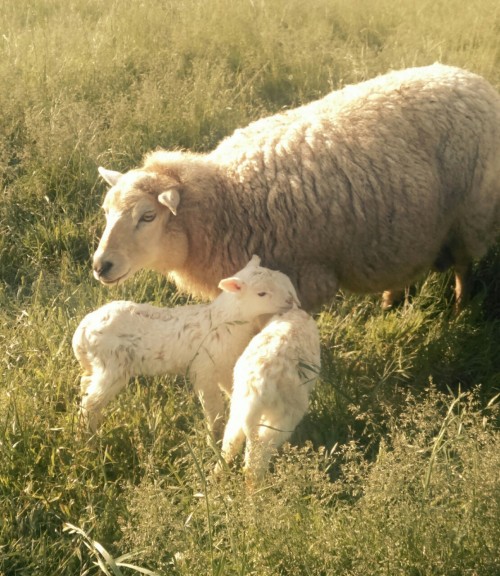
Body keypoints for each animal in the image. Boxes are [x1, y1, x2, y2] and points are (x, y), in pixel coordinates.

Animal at [72, 254, 298, 434]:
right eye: (261, 293)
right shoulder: (204, 369)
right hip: (113, 364)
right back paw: (90, 437)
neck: (225, 320)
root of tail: (81, 333)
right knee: (90, 403)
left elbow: (231, 391)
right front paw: (214, 435)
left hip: (98, 364)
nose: (290, 302)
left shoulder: (224, 366)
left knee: (86, 384)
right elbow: (213, 408)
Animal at [92, 64, 500, 310]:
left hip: (471, 216)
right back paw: (389, 302)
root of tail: (466, 76)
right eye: (107, 213)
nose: (100, 266)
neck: (228, 198)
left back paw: (461, 308)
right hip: (411, 230)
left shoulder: (302, 281)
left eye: (147, 217)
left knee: (463, 266)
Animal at [216, 304, 320, 484]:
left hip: (238, 409)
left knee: (230, 443)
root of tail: (256, 391)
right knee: (256, 460)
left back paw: (216, 477)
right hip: (282, 420)